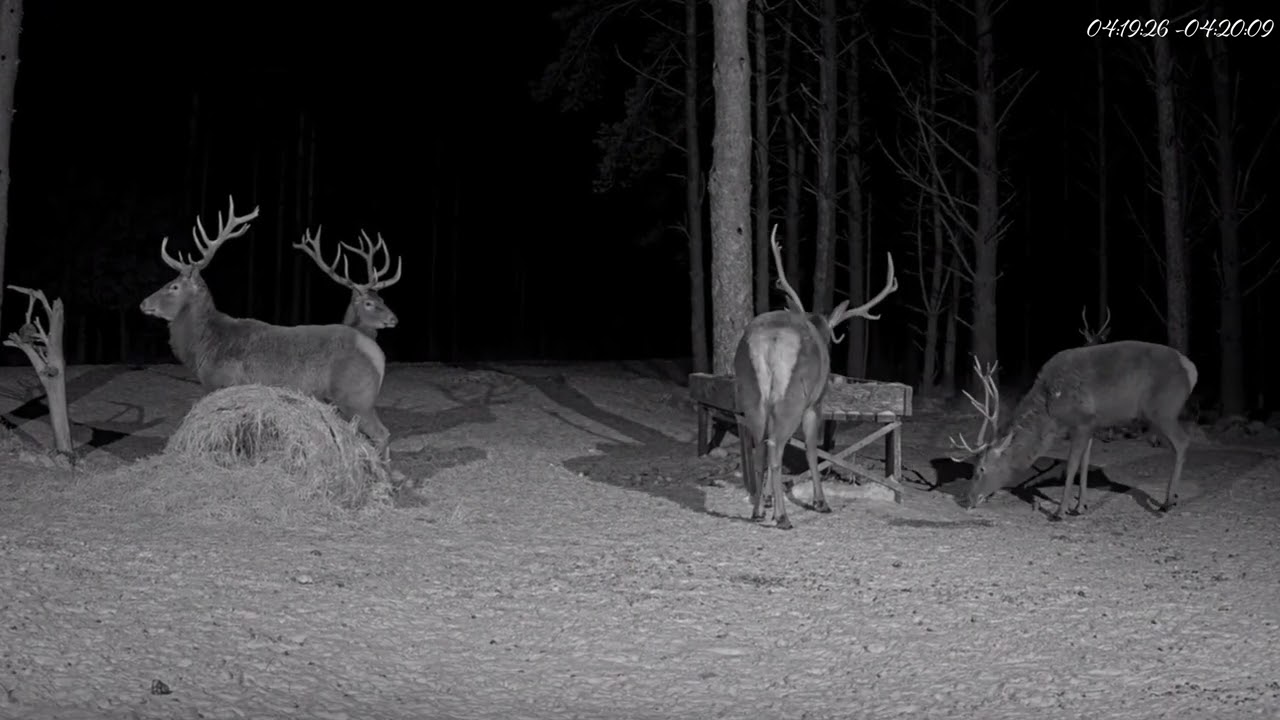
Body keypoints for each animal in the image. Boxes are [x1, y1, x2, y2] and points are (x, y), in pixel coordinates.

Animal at [139, 196, 391, 457]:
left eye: (174, 286)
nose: (144, 303)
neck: (204, 346)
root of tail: (376, 354)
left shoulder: (221, 383)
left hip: (356, 397)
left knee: (382, 434)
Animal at [733, 226, 899, 530]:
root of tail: (771, 340)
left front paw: (768, 499)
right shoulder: (816, 402)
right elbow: (812, 449)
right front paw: (820, 502)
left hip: (751, 393)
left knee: (760, 446)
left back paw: (758, 511)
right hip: (793, 398)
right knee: (775, 446)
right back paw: (783, 517)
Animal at [950, 339, 1197, 519]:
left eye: (981, 469)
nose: (967, 500)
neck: (1051, 412)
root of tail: (1191, 369)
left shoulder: (1082, 421)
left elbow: (1071, 466)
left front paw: (1060, 511)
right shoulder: (1092, 425)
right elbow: (1084, 464)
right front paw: (1080, 506)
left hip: (1163, 410)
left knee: (1183, 442)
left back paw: (1167, 503)